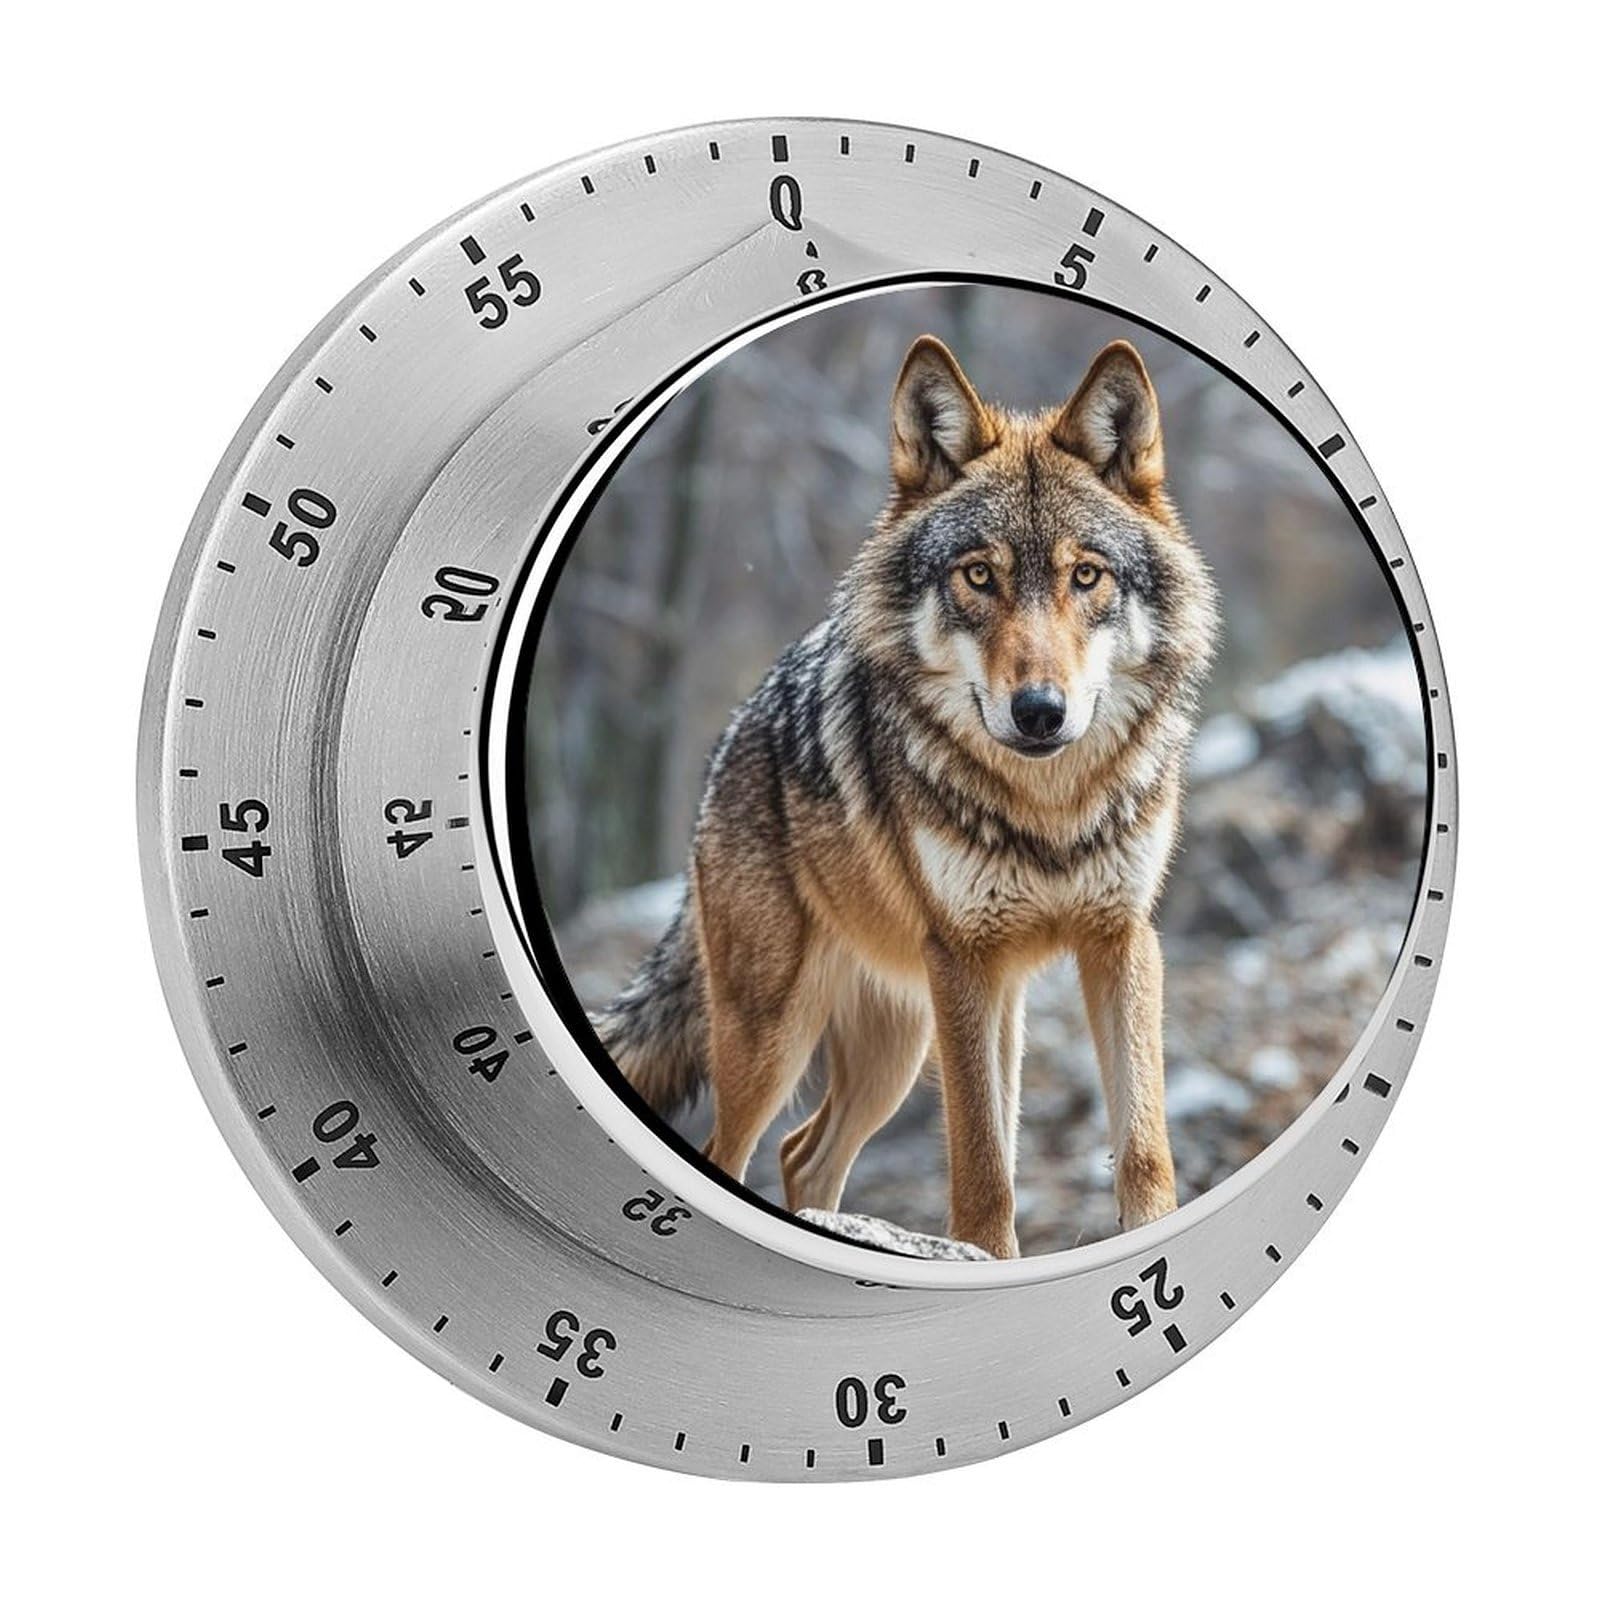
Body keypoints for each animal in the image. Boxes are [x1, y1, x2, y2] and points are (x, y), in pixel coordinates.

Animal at [597, 335, 1219, 1258]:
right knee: (735, 1150)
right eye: (979, 576)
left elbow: (1143, 1150)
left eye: (1086, 576)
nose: (1040, 711)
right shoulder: (961, 959)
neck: (1047, 809)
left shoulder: (1121, 940)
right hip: (781, 1034)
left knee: (803, 1154)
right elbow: (984, 1173)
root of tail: (732, 737)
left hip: (917, 1037)